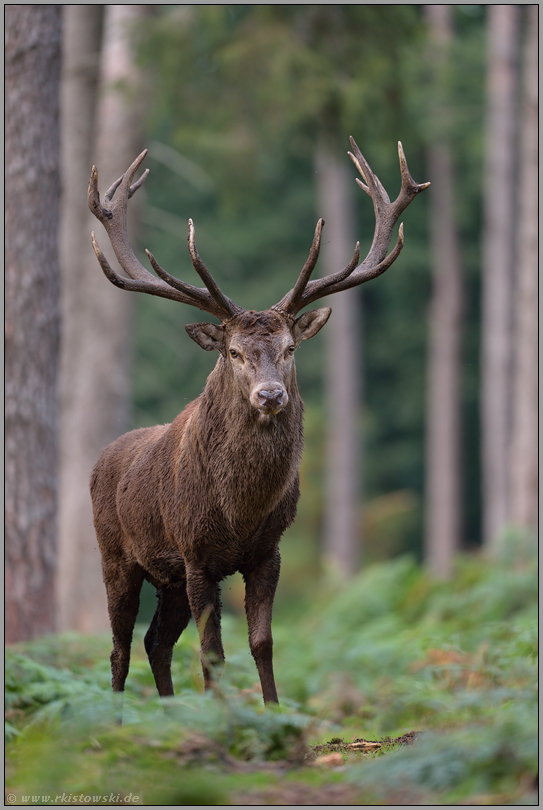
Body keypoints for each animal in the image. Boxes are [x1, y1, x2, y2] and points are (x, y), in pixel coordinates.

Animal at [88, 137, 430, 700]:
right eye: (233, 352)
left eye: (290, 348)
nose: (270, 395)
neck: (240, 510)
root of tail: (100, 461)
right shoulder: (196, 554)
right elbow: (212, 654)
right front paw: (228, 717)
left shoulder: (268, 551)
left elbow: (262, 644)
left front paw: (272, 711)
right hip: (115, 555)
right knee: (119, 648)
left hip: (167, 578)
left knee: (155, 642)